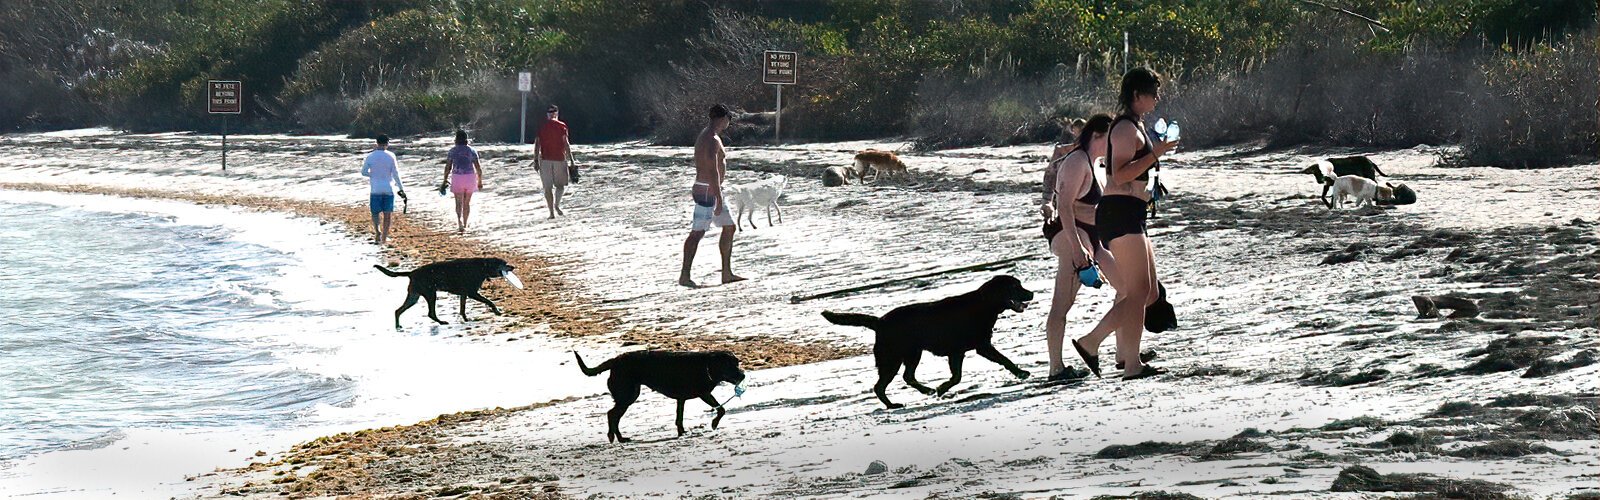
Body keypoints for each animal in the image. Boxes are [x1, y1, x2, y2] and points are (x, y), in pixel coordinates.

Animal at [376, 258, 521, 328]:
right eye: (503, 263)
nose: (513, 267)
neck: (482, 267)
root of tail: (411, 273)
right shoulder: (472, 293)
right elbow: (489, 302)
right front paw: (497, 312)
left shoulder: (464, 294)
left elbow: (462, 309)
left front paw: (466, 319)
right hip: (430, 294)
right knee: (430, 313)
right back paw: (441, 322)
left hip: (414, 296)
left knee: (398, 311)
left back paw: (398, 326)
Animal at [576, 349, 748, 442]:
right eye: (728, 365)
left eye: (737, 362)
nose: (743, 375)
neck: (706, 366)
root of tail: (615, 360)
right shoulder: (703, 394)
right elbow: (721, 410)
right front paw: (713, 424)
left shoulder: (683, 398)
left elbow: (680, 417)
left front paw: (682, 432)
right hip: (627, 396)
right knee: (612, 415)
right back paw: (615, 437)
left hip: (629, 395)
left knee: (614, 415)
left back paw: (619, 438)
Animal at [825, 274, 1036, 410]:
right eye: (1015, 287)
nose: (1032, 293)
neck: (984, 304)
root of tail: (880, 322)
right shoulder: (980, 347)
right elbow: (1003, 360)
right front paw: (1021, 373)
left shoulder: (959, 352)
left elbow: (958, 376)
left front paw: (941, 389)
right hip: (892, 359)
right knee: (880, 386)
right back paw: (893, 405)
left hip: (912, 354)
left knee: (907, 377)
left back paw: (925, 391)